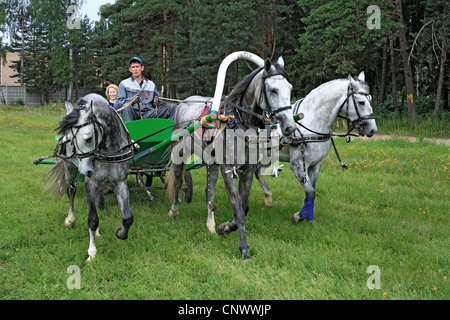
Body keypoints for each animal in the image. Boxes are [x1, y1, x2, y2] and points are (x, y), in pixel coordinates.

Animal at [48, 94, 135, 262]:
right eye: (70, 138)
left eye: (88, 138)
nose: (86, 171)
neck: (109, 150)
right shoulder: (91, 182)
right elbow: (92, 219)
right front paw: (92, 252)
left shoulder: (120, 183)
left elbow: (127, 218)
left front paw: (120, 232)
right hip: (69, 168)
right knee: (71, 190)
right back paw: (70, 220)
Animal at [165, 57, 296, 260]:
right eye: (273, 90)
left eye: (290, 88)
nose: (290, 126)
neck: (238, 123)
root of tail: (182, 103)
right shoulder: (228, 171)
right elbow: (239, 211)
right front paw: (244, 250)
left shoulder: (247, 172)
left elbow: (244, 208)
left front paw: (225, 227)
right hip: (180, 154)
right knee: (178, 182)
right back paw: (174, 210)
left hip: (211, 162)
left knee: (209, 191)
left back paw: (210, 225)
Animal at [255, 72, 378, 222]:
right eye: (361, 102)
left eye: (370, 99)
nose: (373, 129)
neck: (311, 122)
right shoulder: (298, 165)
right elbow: (310, 191)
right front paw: (300, 216)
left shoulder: (316, 164)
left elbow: (312, 189)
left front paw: (307, 216)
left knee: (257, 171)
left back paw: (268, 198)